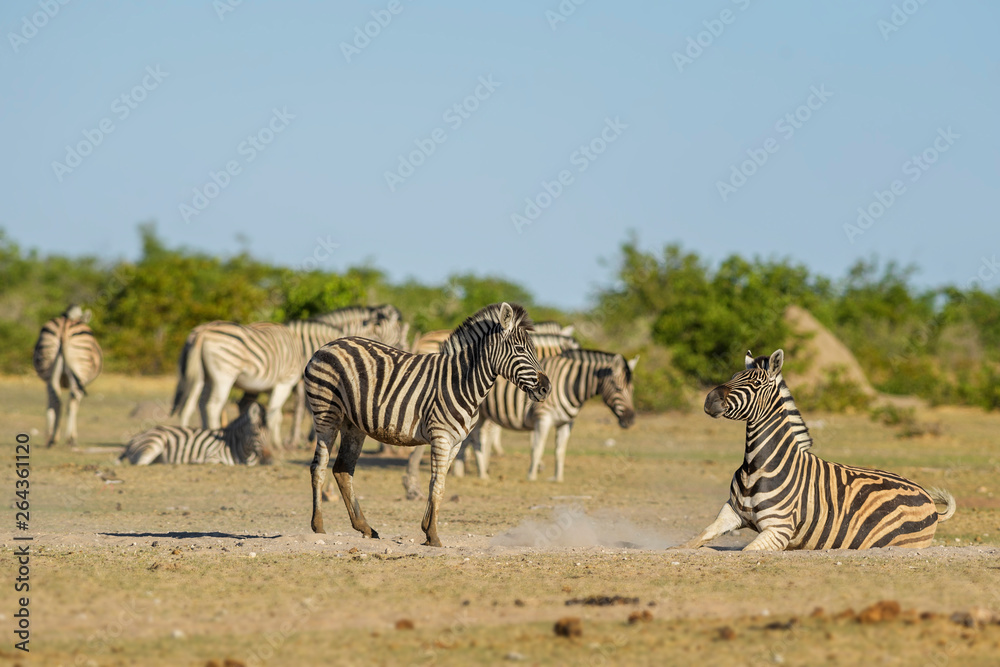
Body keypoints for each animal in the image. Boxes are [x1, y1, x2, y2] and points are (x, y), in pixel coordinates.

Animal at [33, 305, 103, 447]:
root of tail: (64, 327)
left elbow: (49, 404)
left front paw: (48, 434)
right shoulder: (82, 382)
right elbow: (75, 405)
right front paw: (71, 436)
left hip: (49, 368)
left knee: (56, 399)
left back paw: (52, 438)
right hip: (80, 370)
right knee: (71, 402)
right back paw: (70, 439)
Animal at [121, 401, 270, 465]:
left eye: (269, 434)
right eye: (256, 434)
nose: (269, 460)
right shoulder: (212, 456)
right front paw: (195, 461)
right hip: (153, 444)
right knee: (141, 463)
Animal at [170, 321, 303, 445]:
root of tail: (202, 332)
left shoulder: (272, 388)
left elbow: (277, 415)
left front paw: (275, 441)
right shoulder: (285, 383)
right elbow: (273, 415)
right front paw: (274, 443)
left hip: (201, 377)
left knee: (192, 405)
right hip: (224, 376)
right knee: (212, 406)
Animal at [304, 302, 551, 547]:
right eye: (520, 349)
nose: (546, 388)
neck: (463, 382)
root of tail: (327, 345)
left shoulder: (456, 442)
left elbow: (438, 485)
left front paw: (426, 530)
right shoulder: (441, 436)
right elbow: (437, 485)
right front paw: (433, 535)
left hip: (353, 424)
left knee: (343, 470)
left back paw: (364, 527)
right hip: (326, 413)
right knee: (319, 467)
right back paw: (318, 526)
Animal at [679, 349, 956, 551]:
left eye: (756, 383)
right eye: (734, 375)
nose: (710, 400)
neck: (756, 466)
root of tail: (927, 498)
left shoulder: (779, 530)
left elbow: (746, 551)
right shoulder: (730, 513)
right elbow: (692, 541)